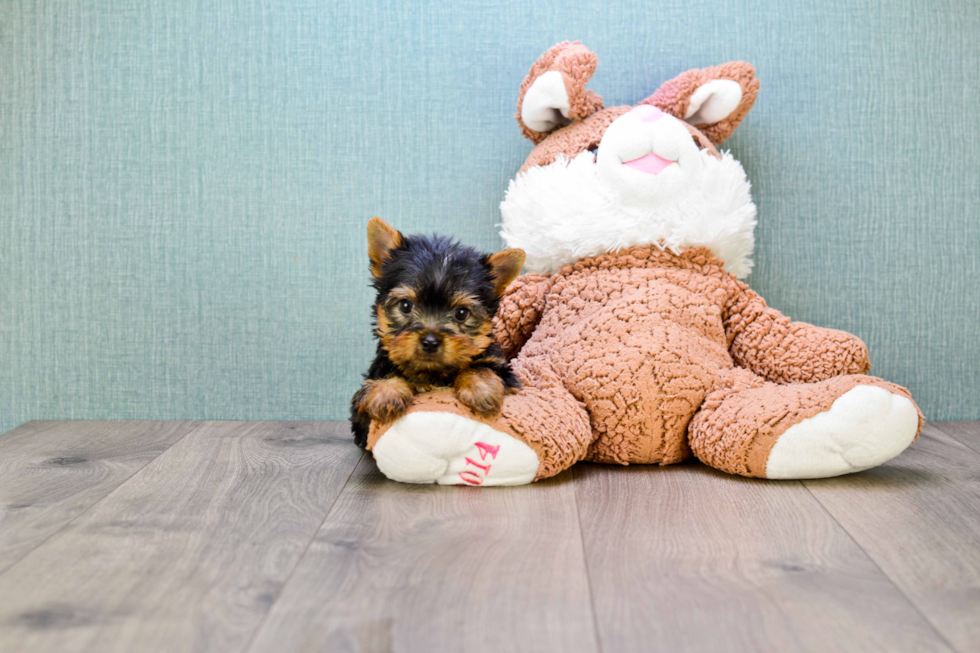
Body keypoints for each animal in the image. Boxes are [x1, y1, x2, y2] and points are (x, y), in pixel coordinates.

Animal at [348, 219, 524, 448]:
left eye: (461, 313)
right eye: (405, 305)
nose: (430, 341)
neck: (432, 373)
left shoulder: (505, 374)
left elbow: (481, 367)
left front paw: (481, 389)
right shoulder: (360, 415)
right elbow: (382, 379)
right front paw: (386, 391)